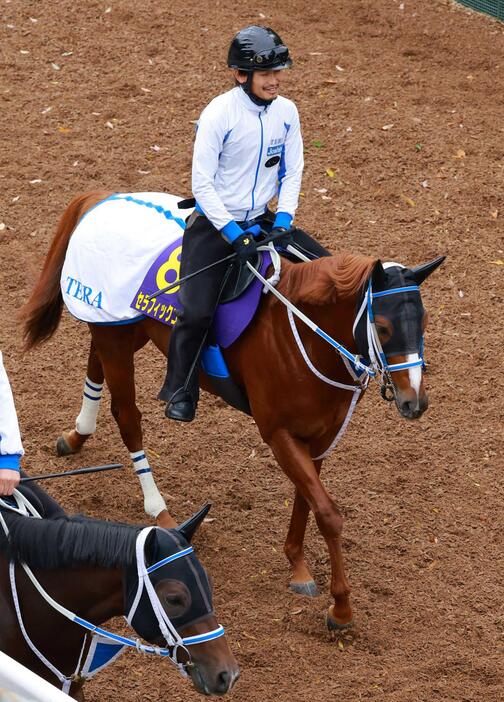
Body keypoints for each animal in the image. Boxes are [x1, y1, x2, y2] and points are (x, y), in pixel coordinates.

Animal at [21, 192, 442, 632]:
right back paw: (159, 509)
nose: (415, 401)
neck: (304, 333)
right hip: (116, 337)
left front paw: (298, 566)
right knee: (128, 417)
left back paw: (76, 435)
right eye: (383, 326)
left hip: (120, 328)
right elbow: (327, 513)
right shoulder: (277, 433)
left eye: (425, 320)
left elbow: (306, 500)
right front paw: (340, 607)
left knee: (94, 365)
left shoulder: (319, 436)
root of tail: (105, 197)